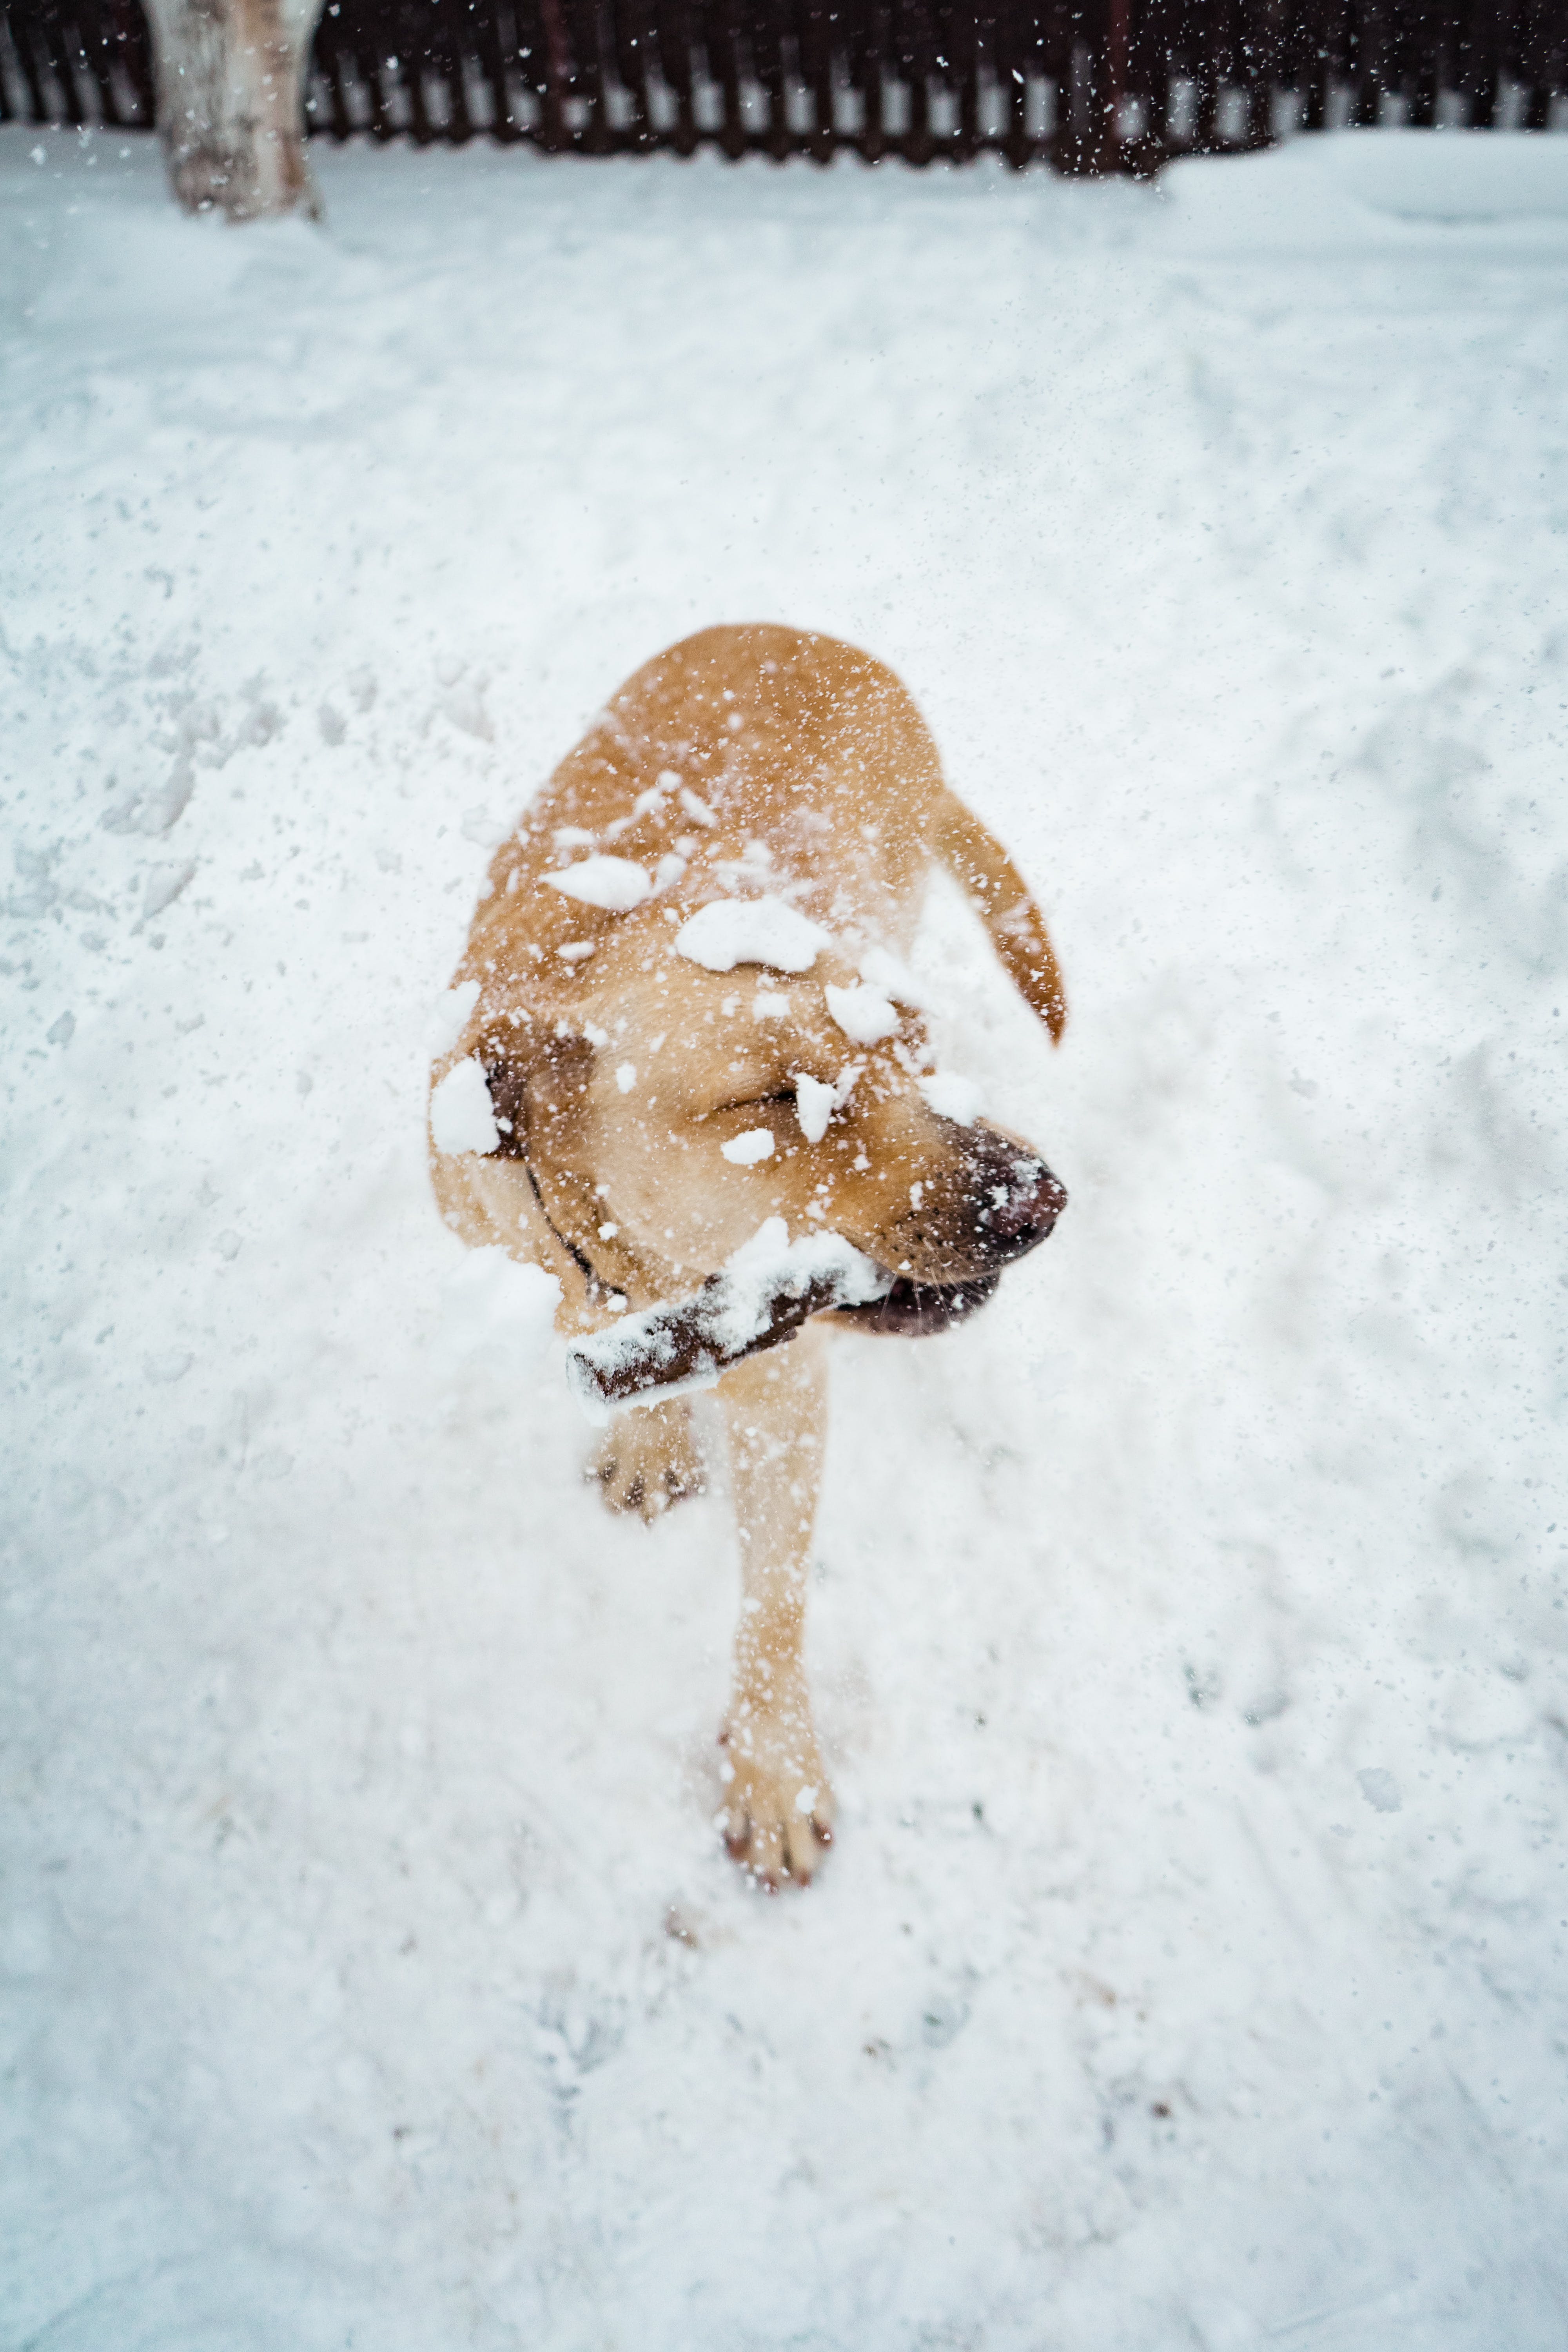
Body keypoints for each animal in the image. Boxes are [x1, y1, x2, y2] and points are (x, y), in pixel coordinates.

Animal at [430, 626, 1067, 1891]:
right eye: (770, 1099)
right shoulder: (544, 1251)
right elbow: (597, 1325)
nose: (1041, 1200)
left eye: (911, 1046)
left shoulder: (782, 1383)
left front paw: (772, 1769)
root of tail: (826, 639)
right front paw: (649, 1431)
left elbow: (773, 1598)